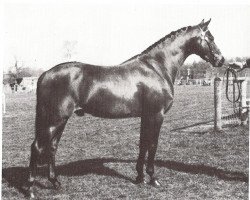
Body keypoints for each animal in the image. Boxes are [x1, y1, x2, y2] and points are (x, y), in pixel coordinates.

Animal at [25, 18, 225, 197]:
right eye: (211, 38)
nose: (221, 60)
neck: (157, 68)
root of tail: (45, 75)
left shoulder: (146, 116)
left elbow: (143, 144)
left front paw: (140, 177)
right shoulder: (156, 115)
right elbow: (152, 145)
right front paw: (153, 178)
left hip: (59, 120)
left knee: (51, 147)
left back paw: (55, 183)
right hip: (55, 119)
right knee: (37, 147)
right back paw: (31, 189)